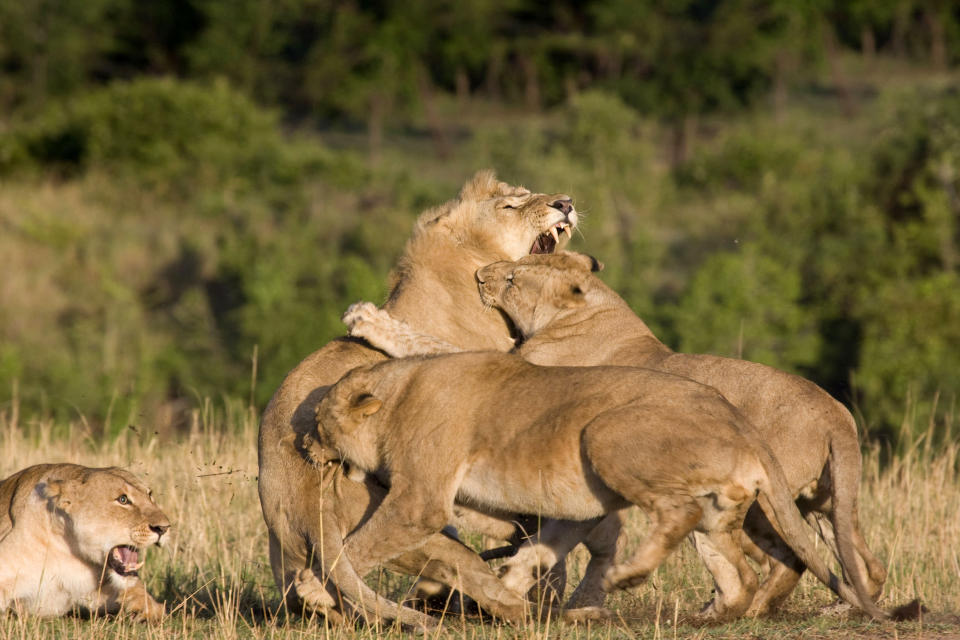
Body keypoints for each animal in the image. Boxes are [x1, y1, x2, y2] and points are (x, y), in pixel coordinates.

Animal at [0, 462, 169, 624]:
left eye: (150, 495)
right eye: (123, 499)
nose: (164, 528)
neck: (68, 551)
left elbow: (141, 592)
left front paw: (147, 611)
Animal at [312, 348, 888, 624]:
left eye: (319, 419)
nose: (304, 441)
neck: (399, 391)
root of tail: (743, 422)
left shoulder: (419, 502)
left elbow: (353, 547)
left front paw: (316, 591)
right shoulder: (580, 504)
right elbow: (538, 552)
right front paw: (508, 595)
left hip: (606, 432)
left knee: (676, 514)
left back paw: (628, 578)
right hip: (720, 510)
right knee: (740, 576)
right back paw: (709, 617)